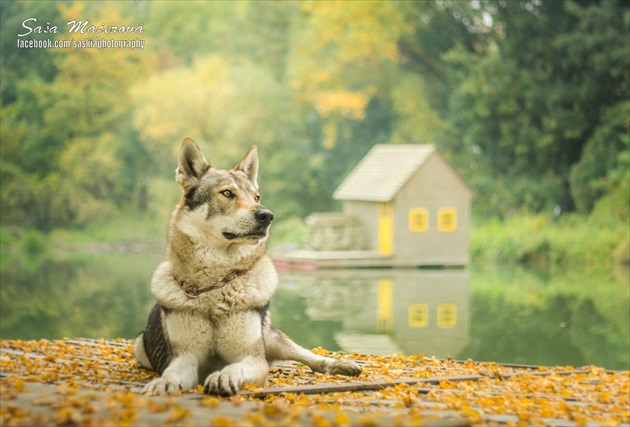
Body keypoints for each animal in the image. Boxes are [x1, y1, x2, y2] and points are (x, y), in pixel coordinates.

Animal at [136, 139, 362, 396]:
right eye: (227, 193)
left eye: (256, 197)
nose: (267, 215)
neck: (215, 283)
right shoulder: (186, 357)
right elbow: (172, 374)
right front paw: (161, 384)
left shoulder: (253, 358)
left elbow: (235, 368)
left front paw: (222, 377)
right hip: (139, 348)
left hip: (271, 339)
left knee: (309, 356)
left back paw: (341, 365)